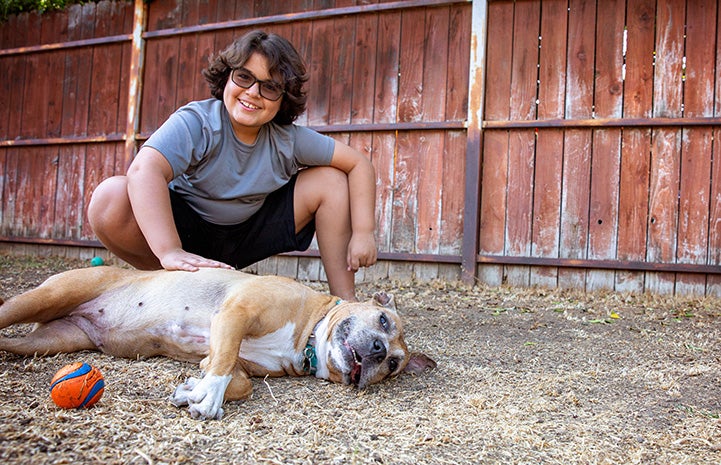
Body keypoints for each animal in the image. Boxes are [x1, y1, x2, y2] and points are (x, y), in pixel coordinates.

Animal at [0, 264, 434, 420]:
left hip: (48, 341)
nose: (379, 351)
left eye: (393, 365)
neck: (308, 337)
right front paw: (208, 397)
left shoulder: (227, 354)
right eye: (382, 320)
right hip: (46, 297)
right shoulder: (237, 313)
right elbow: (224, 366)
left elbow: (235, 378)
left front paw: (196, 387)